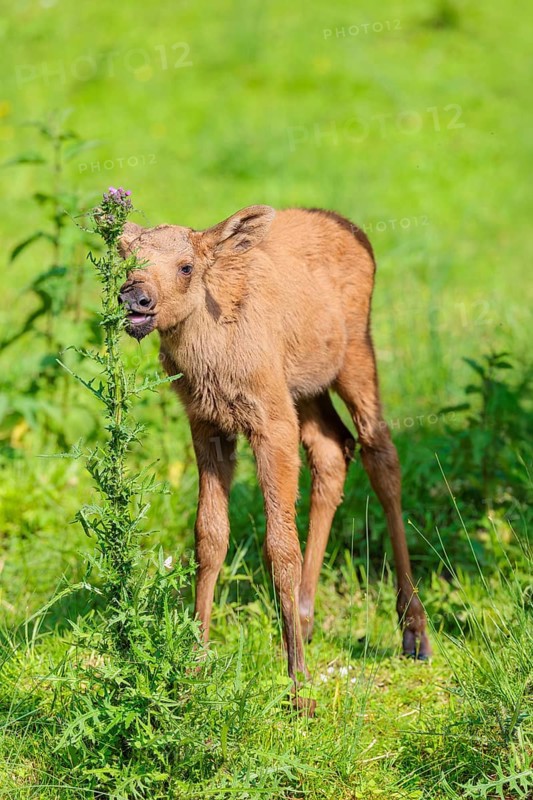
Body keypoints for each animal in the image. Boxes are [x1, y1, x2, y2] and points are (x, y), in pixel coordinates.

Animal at [118, 205, 431, 713]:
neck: (214, 357)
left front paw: (299, 686)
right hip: (306, 388)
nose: (136, 298)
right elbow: (209, 537)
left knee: (380, 452)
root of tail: (355, 230)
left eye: (187, 267)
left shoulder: (271, 420)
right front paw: (195, 666)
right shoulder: (207, 424)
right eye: (126, 259)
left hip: (355, 353)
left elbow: (280, 547)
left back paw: (413, 630)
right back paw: (304, 616)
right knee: (333, 449)